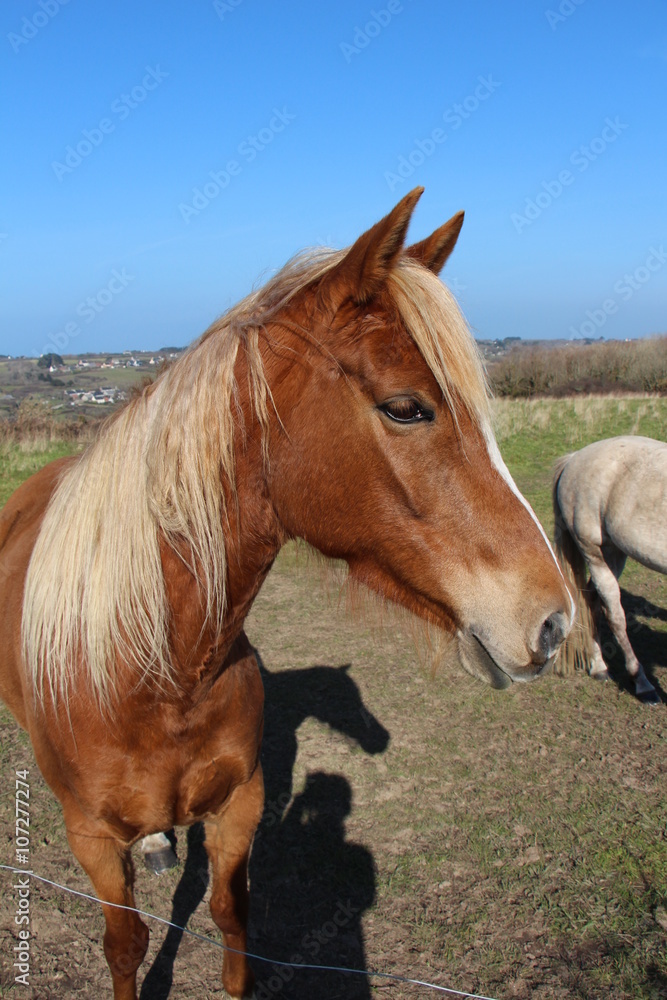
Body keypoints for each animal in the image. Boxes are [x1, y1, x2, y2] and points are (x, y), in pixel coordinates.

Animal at [0, 189, 576, 1000]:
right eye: (406, 407)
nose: (553, 619)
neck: (152, 672)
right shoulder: (90, 839)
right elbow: (125, 944)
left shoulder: (239, 808)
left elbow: (232, 923)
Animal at [552, 436, 667, 704]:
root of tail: (574, 458)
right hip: (595, 554)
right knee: (614, 616)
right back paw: (641, 683)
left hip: (614, 553)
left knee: (592, 602)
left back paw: (599, 667)